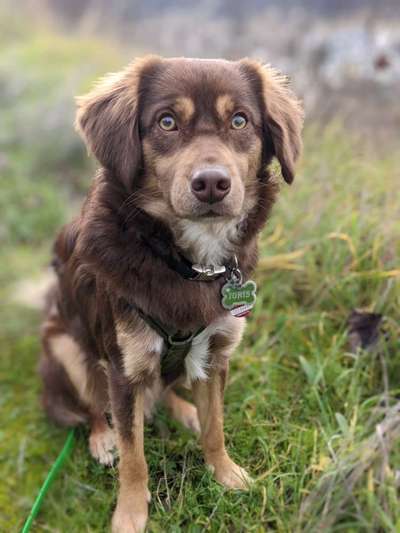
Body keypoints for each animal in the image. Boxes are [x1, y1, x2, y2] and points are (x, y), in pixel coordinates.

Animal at [39, 56, 304, 528]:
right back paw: (102, 438)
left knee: (166, 389)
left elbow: (216, 427)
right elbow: (134, 455)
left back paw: (184, 411)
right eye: (166, 122)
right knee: (92, 407)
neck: (188, 263)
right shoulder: (123, 369)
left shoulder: (216, 352)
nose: (212, 183)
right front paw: (130, 513)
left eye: (240, 120)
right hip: (64, 344)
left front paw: (226, 473)